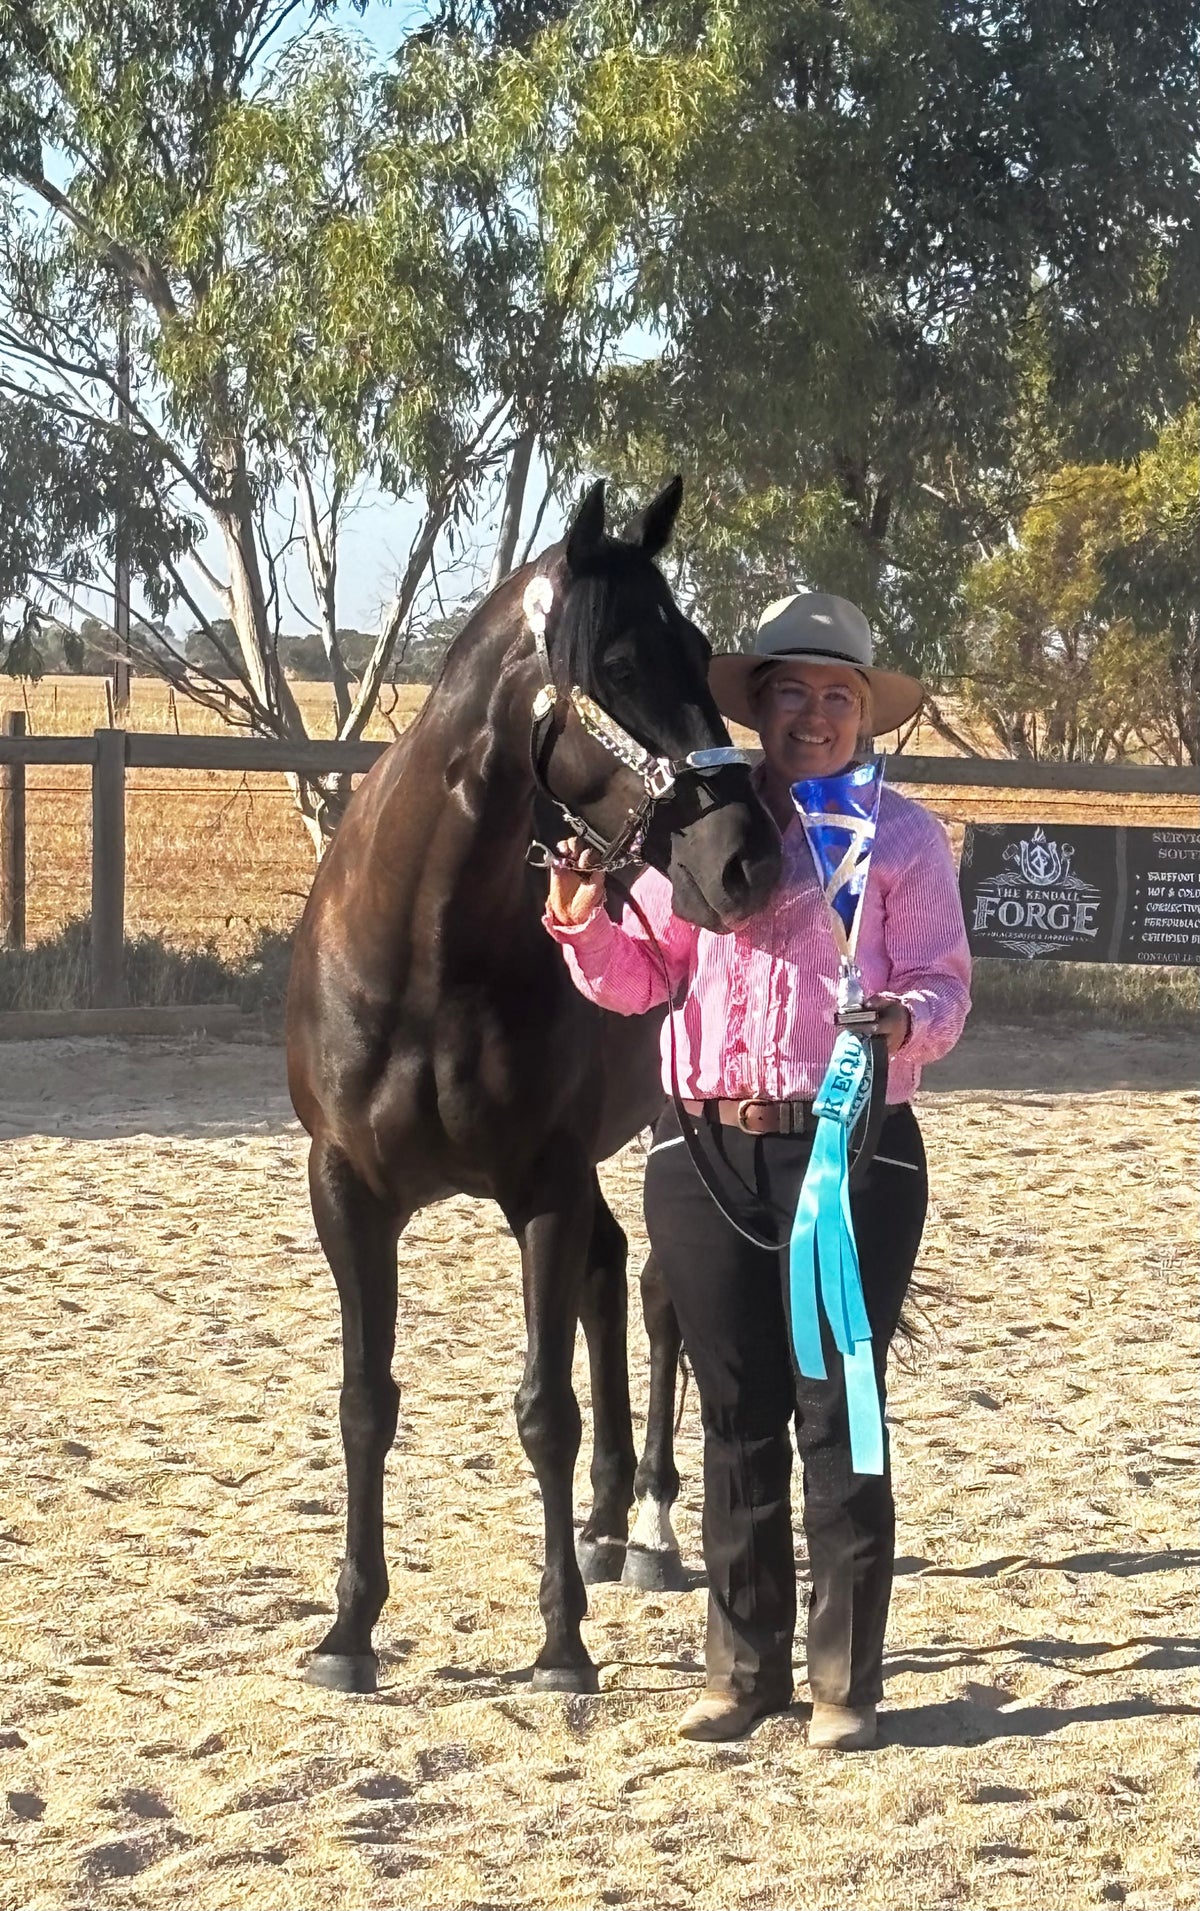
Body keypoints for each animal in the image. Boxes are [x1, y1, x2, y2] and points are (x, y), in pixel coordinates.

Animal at [285, 476, 781, 1695]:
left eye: (701, 652)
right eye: (617, 662)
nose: (748, 858)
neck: (427, 952)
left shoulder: (542, 1185)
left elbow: (544, 1407)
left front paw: (561, 1642)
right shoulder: (346, 1191)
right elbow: (365, 1402)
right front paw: (349, 1631)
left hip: (665, 1130)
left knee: (654, 1294)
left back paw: (646, 1529)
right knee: (611, 1274)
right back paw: (605, 1526)